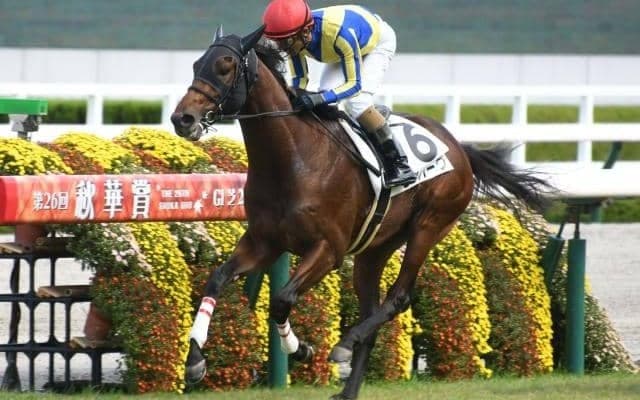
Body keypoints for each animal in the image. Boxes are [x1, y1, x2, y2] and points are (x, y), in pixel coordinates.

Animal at [170, 26, 550, 400]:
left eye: (225, 67)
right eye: (195, 65)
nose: (181, 118)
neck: (292, 158)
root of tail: (458, 147)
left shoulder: (328, 249)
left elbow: (281, 299)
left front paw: (301, 349)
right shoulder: (264, 242)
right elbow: (217, 278)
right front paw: (195, 361)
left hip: (430, 225)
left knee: (399, 297)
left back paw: (345, 345)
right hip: (373, 250)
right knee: (373, 308)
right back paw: (348, 386)